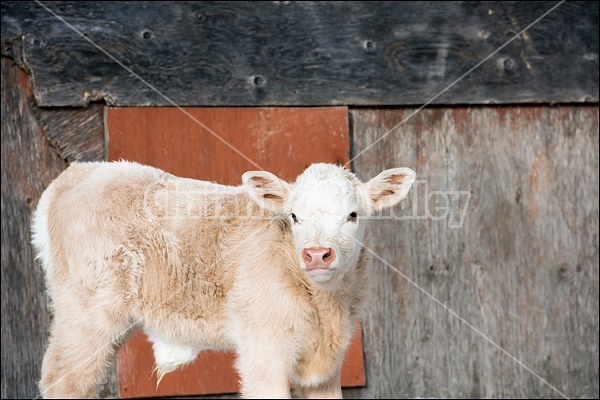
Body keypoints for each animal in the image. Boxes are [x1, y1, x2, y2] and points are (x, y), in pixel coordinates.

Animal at [31, 161, 418, 398]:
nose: (317, 254)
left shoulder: (327, 364)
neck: (326, 308)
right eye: (294, 216)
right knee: (64, 381)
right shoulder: (263, 348)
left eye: (353, 215)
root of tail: (81, 172)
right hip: (85, 314)